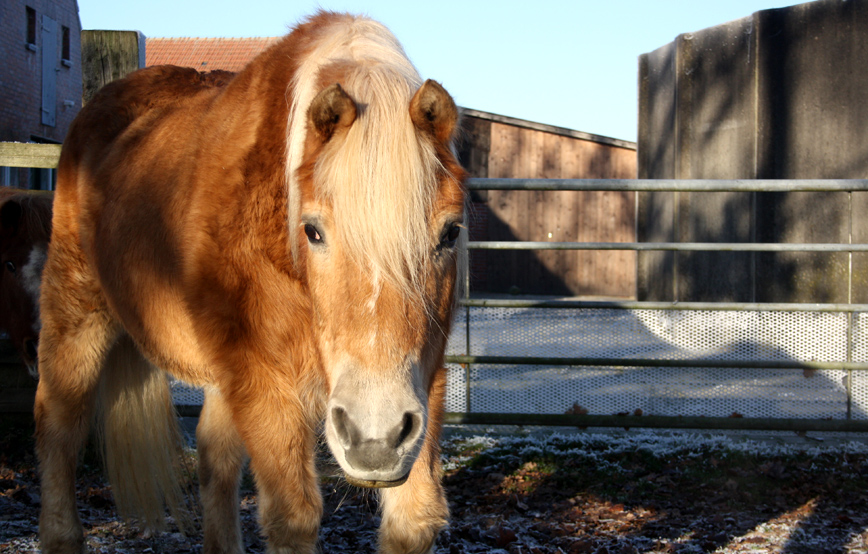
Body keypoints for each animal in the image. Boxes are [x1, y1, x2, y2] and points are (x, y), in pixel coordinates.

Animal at [34, 9, 468, 552]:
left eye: (451, 232)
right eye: (313, 230)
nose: (376, 438)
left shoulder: (423, 381)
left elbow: (414, 519)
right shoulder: (266, 382)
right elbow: (292, 518)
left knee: (214, 459)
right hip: (77, 316)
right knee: (58, 428)